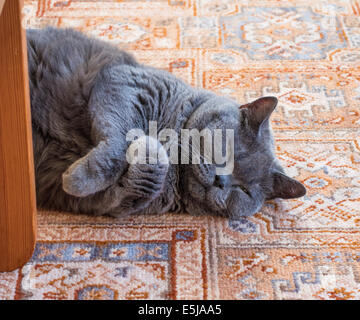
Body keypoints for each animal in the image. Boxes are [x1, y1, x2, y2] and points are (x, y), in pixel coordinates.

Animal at [26, 26, 306, 218]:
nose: (221, 181)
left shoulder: (114, 206)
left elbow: (139, 184)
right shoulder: (127, 84)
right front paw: (78, 178)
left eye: (245, 191)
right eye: (228, 151)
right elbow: (119, 142)